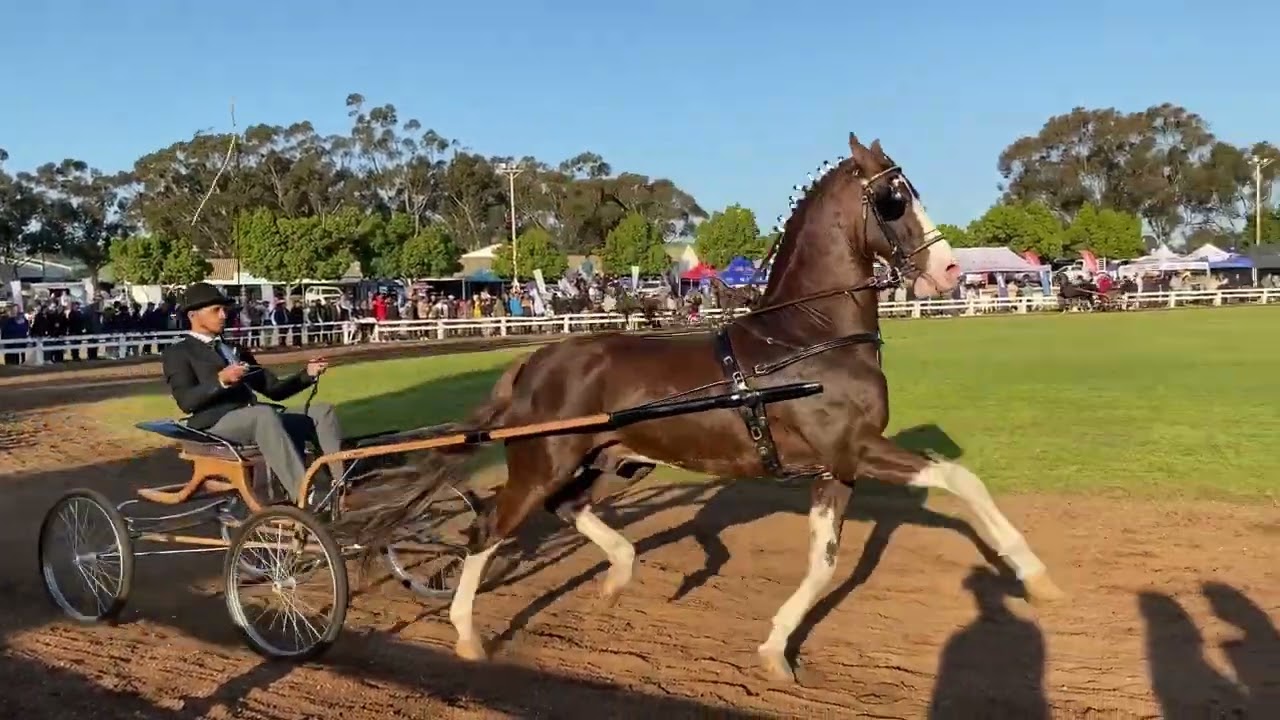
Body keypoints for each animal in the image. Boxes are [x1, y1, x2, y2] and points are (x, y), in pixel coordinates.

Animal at [337, 132, 1065, 683]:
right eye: (893, 199)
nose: (949, 273)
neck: (805, 338)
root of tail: (534, 361)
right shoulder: (855, 449)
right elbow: (957, 477)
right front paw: (1036, 576)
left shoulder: (835, 469)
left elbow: (824, 563)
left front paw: (775, 649)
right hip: (543, 463)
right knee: (488, 529)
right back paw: (466, 635)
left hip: (613, 461)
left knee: (570, 511)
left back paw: (618, 576)